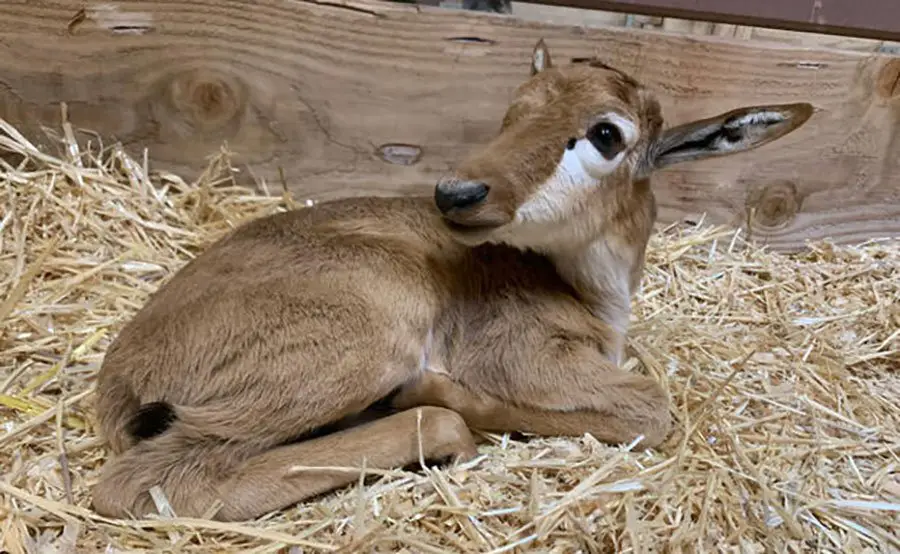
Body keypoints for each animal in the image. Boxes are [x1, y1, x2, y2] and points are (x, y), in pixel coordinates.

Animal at [93, 40, 816, 516]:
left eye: (606, 133)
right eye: (514, 110)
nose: (458, 192)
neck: (590, 295)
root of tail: (121, 375)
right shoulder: (527, 358)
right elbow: (650, 407)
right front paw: (444, 393)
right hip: (363, 346)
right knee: (154, 483)